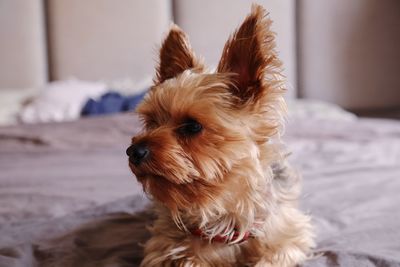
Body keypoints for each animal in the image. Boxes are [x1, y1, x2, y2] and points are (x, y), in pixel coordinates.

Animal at [126, 4, 314, 267]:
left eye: (192, 126)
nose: (133, 151)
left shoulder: (290, 238)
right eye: (151, 122)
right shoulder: (162, 247)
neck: (221, 213)